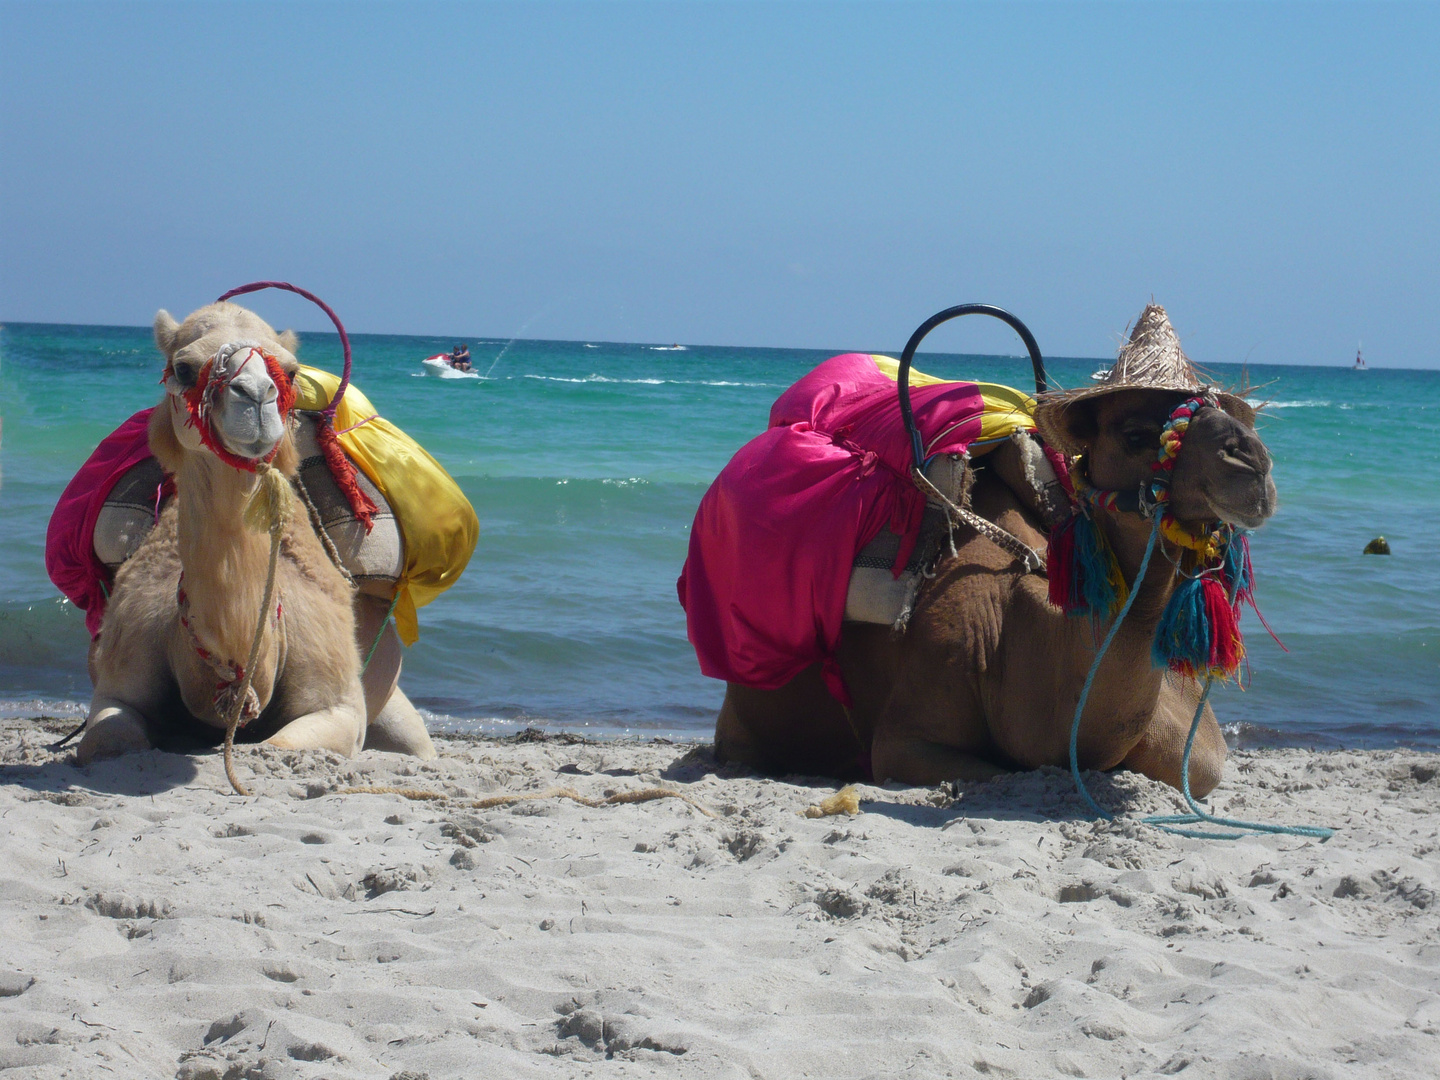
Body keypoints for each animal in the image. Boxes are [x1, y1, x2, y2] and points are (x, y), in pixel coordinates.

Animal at [78, 300, 434, 766]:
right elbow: (108, 738)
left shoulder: (339, 702)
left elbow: (278, 744)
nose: (255, 397)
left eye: (291, 371)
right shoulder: (119, 678)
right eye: (184, 368)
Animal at [717, 308, 1272, 800]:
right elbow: (985, 766)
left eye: (1220, 409)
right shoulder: (908, 732)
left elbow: (1196, 767)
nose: (1253, 462)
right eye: (1134, 433)